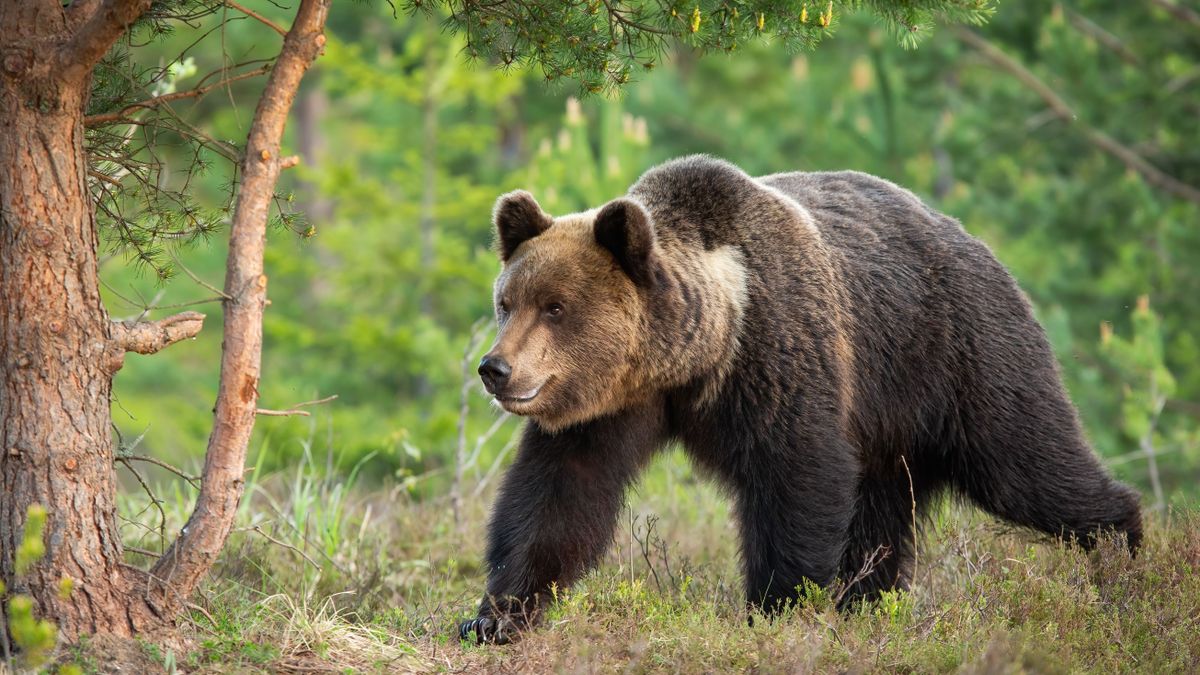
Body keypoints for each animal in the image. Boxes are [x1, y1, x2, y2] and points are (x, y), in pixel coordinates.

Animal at [458, 155, 1143, 645]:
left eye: (556, 307)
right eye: (507, 301)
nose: (495, 368)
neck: (698, 354)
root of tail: (976, 242)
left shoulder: (780, 353)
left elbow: (797, 475)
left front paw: (776, 608)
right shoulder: (611, 403)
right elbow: (559, 495)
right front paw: (493, 616)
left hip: (962, 355)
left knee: (1028, 465)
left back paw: (1124, 554)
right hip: (889, 426)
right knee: (882, 519)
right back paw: (871, 605)